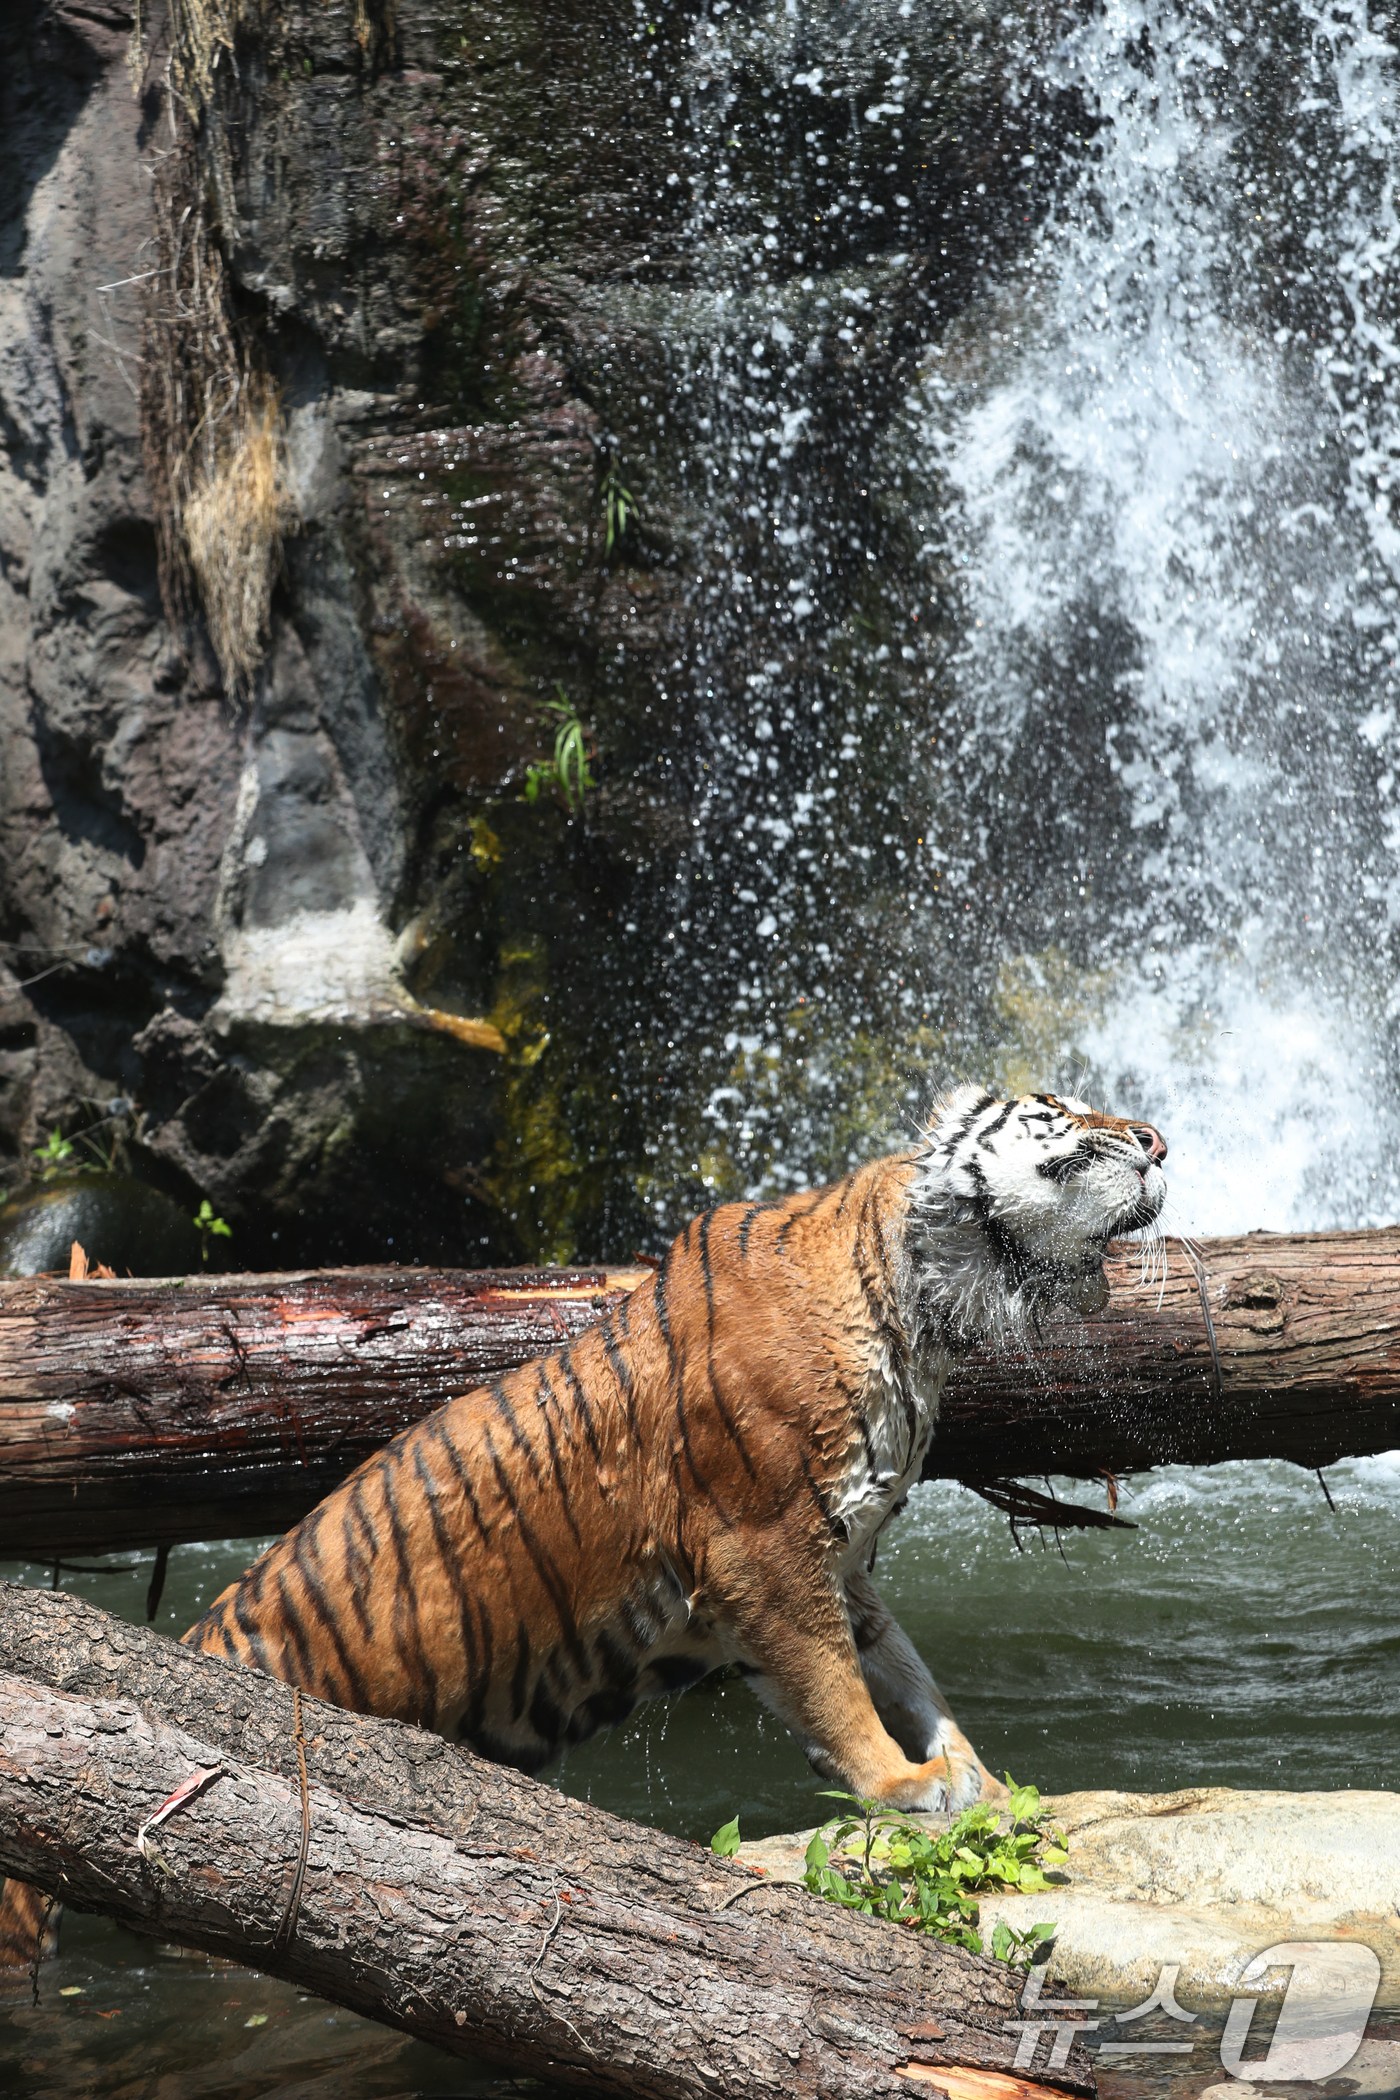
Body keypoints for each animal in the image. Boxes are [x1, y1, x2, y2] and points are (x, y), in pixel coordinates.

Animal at [0, 1083, 1167, 1965]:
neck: (927, 1313)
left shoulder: (845, 1558)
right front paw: (905, 1785)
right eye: (1059, 1109)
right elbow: (836, 1686)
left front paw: (982, 1779)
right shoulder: (764, 1549)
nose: (1160, 1140)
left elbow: (906, 1674)